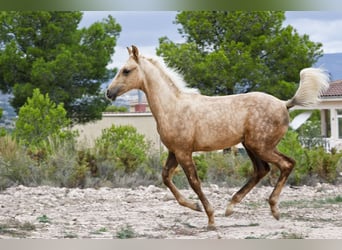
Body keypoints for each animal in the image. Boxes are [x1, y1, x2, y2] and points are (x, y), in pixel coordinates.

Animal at [106, 45, 328, 229]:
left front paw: (210, 219)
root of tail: (284, 103)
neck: (172, 106)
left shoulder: (184, 152)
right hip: (250, 146)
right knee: (262, 170)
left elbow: (194, 182)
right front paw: (195, 206)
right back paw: (231, 207)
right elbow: (166, 178)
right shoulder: (174, 151)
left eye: (126, 70)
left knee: (286, 164)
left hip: (261, 146)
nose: (109, 92)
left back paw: (273, 209)